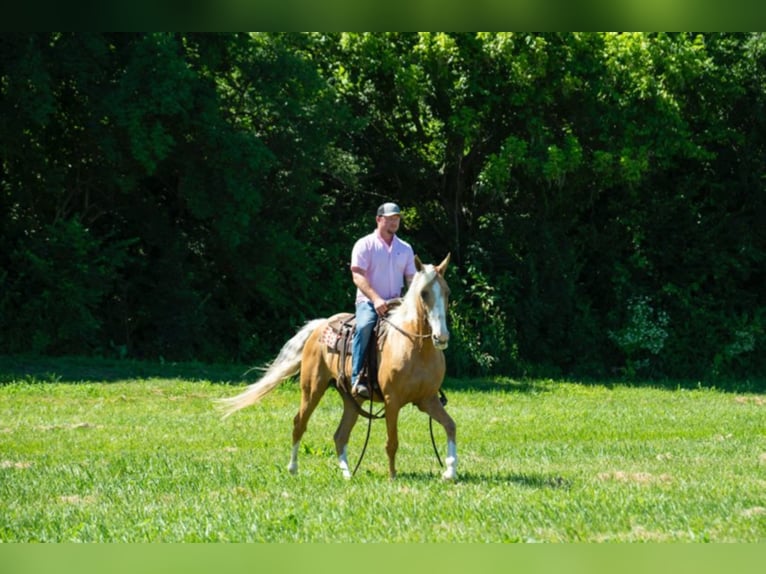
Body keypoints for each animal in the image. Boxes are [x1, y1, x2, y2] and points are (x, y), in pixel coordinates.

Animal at [216, 255, 456, 482]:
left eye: (446, 292)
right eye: (423, 293)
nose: (441, 337)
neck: (416, 348)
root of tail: (319, 326)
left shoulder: (427, 399)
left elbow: (450, 426)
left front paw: (449, 471)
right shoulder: (392, 400)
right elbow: (392, 441)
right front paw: (393, 476)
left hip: (352, 399)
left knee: (340, 435)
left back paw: (347, 474)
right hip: (312, 389)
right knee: (299, 423)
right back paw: (293, 468)